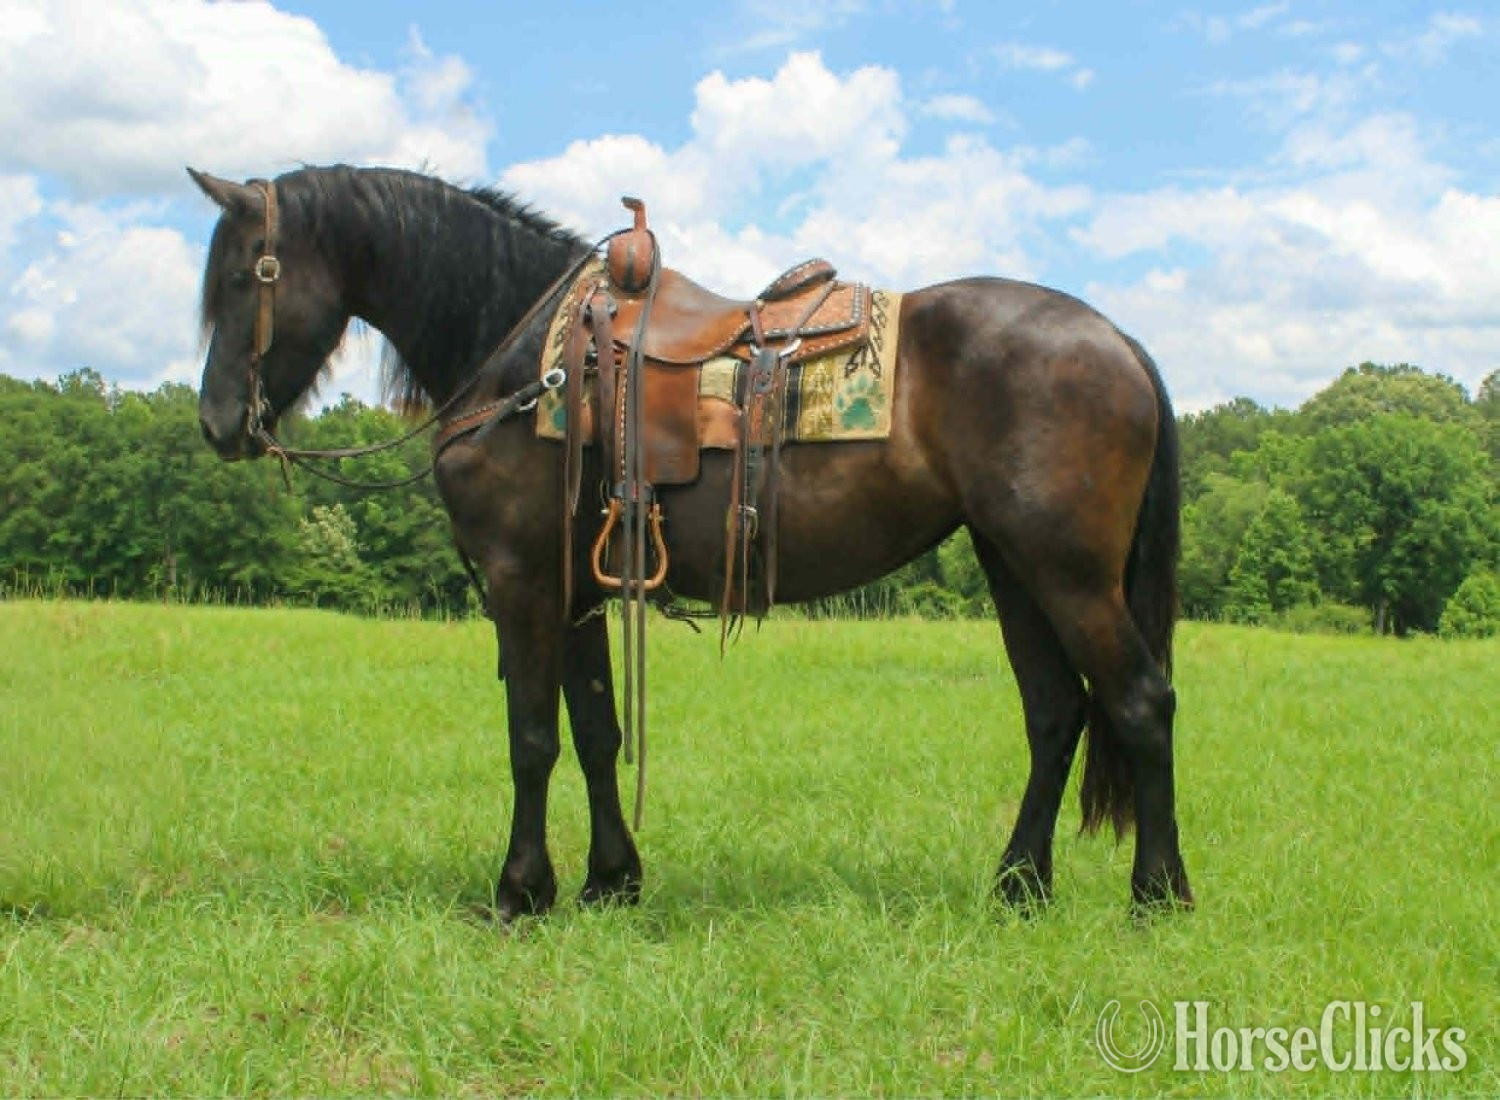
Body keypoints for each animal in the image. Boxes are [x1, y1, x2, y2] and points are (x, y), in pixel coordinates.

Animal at [190, 164, 1192, 919]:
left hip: (1067, 572)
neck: (520, 354)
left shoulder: (522, 582)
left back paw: (1158, 894)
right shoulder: (577, 590)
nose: (216, 424)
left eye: (244, 279)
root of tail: (1117, 338)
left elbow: (531, 738)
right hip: (1013, 565)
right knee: (1056, 714)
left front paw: (519, 892)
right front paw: (608, 881)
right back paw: (1019, 887)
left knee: (1140, 701)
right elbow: (595, 732)